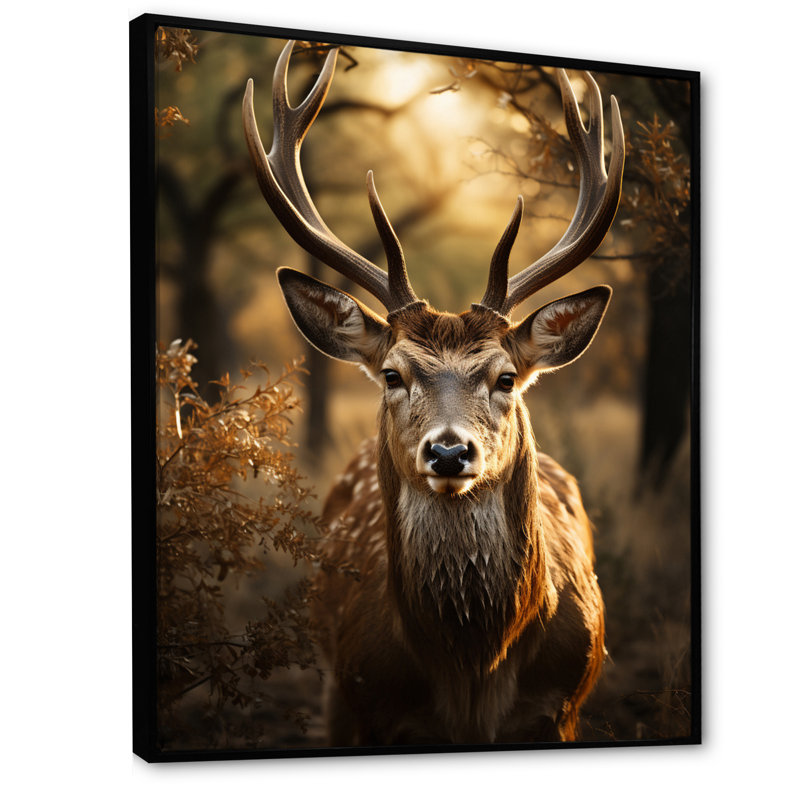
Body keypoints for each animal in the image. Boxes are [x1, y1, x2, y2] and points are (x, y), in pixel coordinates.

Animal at [242, 40, 624, 746]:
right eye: (393, 374)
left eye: (505, 376)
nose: (449, 453)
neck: (472, 671)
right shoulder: (369, 700)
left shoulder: (564, 704)